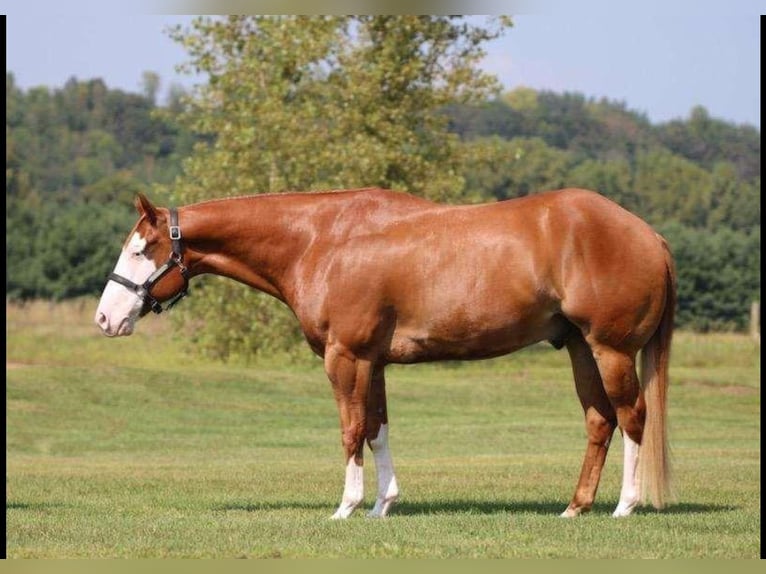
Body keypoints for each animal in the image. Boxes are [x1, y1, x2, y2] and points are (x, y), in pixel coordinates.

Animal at [95, 187, 676, 519]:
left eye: (141, 250)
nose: (105, 319)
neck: (321, 241)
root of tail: (650, 235)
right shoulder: (372, 362)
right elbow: (377, 429)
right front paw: (381, 504)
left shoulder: (346, 357)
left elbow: (351, 430)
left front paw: (346, 507)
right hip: (579, 347)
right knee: (600, 421)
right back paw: (576, 507)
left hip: (611, 349)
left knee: (632, 416)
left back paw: (625, 506)